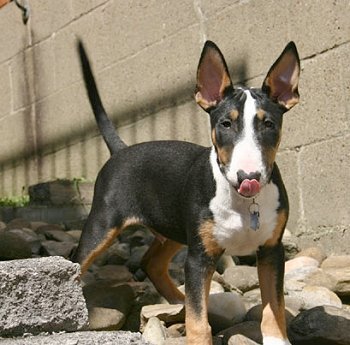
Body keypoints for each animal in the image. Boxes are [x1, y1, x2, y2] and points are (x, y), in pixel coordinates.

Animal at [72, 39, 300, 342]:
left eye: (269, 124)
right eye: (225, 123)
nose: (248, 177)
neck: (241, 201)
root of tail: (121, 150)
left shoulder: (272, 251)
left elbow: (274, 306)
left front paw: (277, 340)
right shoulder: (198, 258)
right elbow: (198, 319)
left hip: (174, 229)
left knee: (151, 264)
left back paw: (178, 302)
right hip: (103, 224)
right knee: (76, 262)